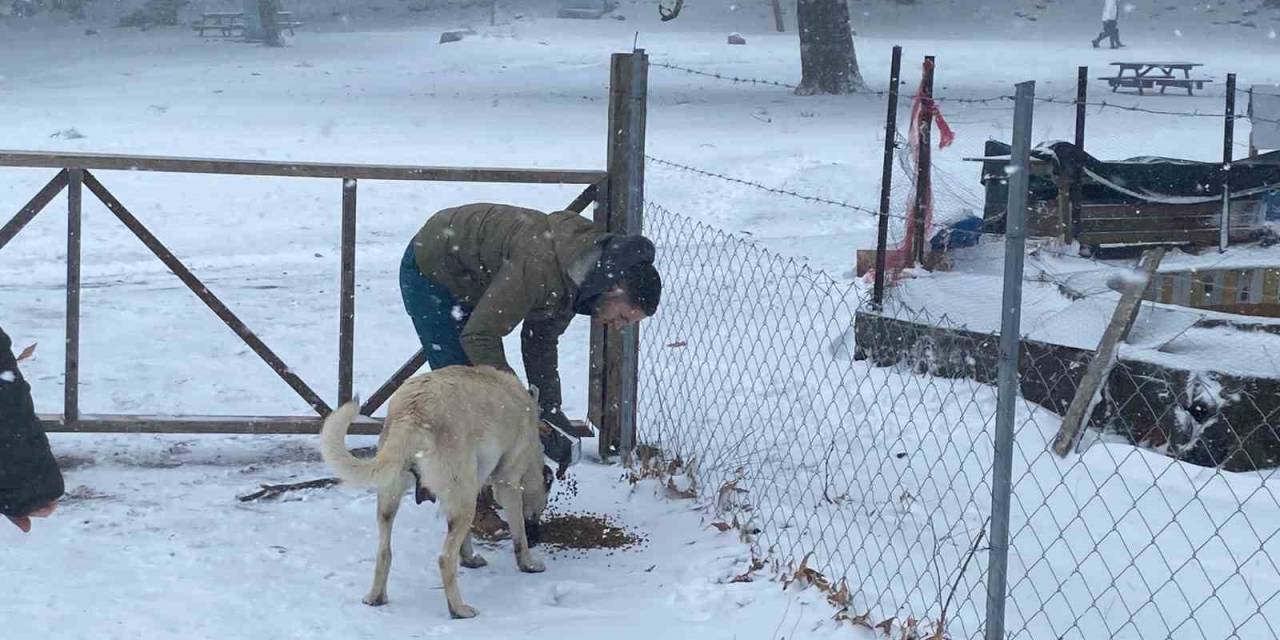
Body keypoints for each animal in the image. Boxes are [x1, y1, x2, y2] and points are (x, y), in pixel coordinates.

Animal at [320, 366, 550, 619]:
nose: (537, 527)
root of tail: (412, 414)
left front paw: (469, 558)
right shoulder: (506, 484)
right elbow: (519, 535)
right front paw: (528, 564)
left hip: (390, 497)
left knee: (384, 552)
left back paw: (376, 597)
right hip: (463, 502)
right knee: (445, 559)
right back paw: (458, 609)